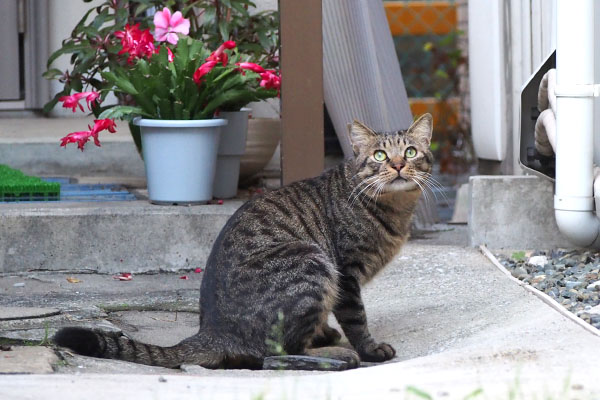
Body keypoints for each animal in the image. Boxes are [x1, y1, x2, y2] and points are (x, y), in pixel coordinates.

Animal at [54, 112, 434, 368]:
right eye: (380, 156)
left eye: (410, 152)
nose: (398, 165)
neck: (395, 209)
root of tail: (213, 331)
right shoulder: (346, 274)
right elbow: (356, 319)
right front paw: (370, 349)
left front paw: (328, 331)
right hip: (311, 261)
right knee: (280, 353)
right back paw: (337, 354)